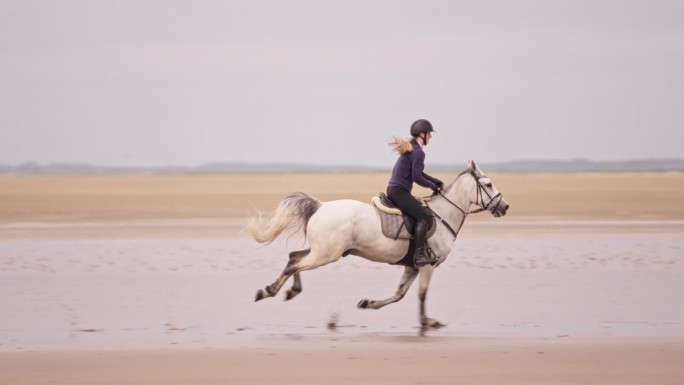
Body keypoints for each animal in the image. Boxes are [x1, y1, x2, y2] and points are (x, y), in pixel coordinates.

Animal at [246, 159, 508, 328]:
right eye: (487, 184)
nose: (505, 207)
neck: (444, 215)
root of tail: (321, 206)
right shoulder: (427, 266)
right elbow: (422, 294)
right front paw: (427, 321)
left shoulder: (412, 266)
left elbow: (399, 294)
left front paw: (368, 303)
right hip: (326, 254)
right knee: (295, 264)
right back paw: (268, 291)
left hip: (320, 251)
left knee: (294, 257)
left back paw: (289, 291)